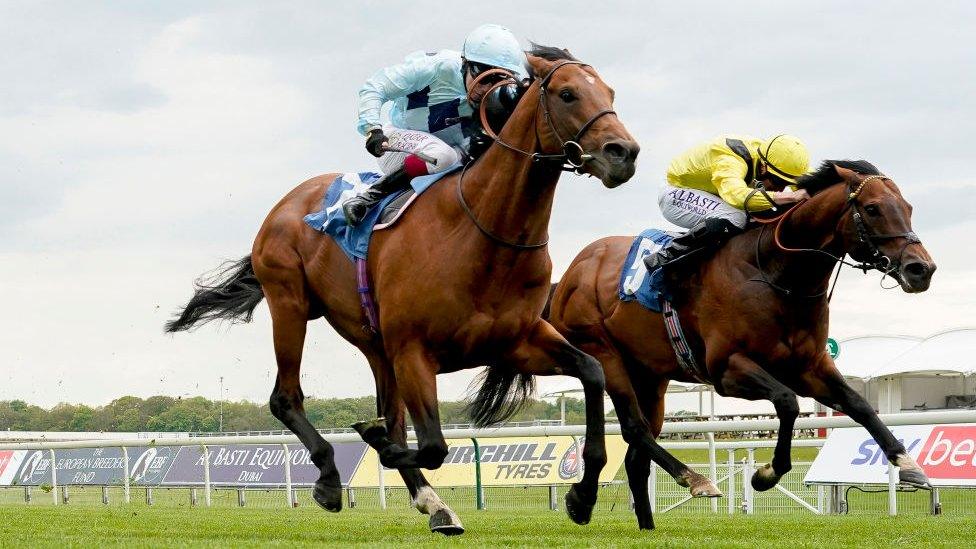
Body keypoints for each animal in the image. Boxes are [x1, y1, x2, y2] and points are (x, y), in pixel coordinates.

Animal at [166, 45, 640, 532]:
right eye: (567, 94)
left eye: (609, 92)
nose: (623, 152)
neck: (482, 232)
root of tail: (290, 200)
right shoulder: (414, 350)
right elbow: (430, 444)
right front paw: (372, 445)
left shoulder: (514, 342)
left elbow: (592, 371)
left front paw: (582, 495)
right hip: (290, 302)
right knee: (285, 398)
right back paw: (331, 477)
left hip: (376, 346)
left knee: (389, 414)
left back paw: (433, 502)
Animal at [548, 158, 936, 528]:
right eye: (872, 208)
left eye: (909, 207)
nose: (922, 269)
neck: (777, 273)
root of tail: (570, 273)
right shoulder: (727, 369)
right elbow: (787, 402)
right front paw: (766, 474)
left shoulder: (809, 366)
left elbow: (860, 405)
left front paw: (907, 462)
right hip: (604, 353)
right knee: (633, 427)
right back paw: (685, 481)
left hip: (650, 376)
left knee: (635, 455)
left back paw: (630, 518)